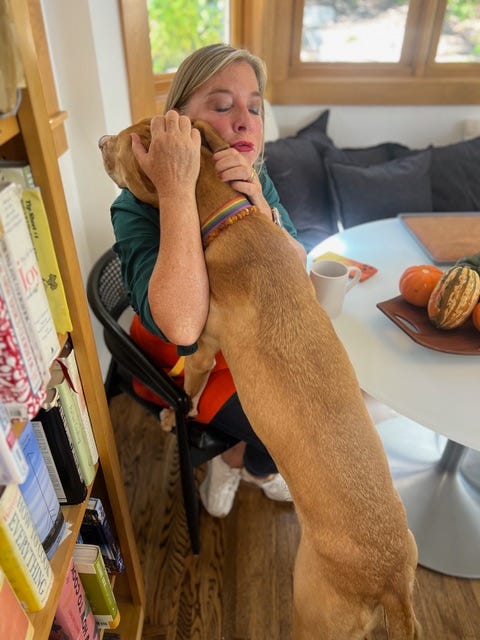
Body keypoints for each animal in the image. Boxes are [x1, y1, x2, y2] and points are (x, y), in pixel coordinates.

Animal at [99, 117, 422, 636]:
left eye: (124, 144)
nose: (100, 141)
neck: (230, 222)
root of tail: (392, 580)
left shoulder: (202, 350)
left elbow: (189, 392)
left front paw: (173, 416)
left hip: (311, 607)